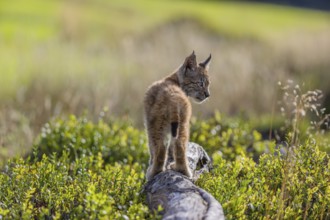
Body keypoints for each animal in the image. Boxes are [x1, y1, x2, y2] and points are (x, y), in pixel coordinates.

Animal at [144, 52, 211, 180]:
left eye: (207, 84)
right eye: (200, 84)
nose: (208, 95)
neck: (175, 79)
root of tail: (174, 98)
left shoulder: (148, 122)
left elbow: (151, 149)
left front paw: (151, 163)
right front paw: (171, 157)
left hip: (156, 125)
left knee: (160, 149)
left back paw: (153, 172)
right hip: (183, 124)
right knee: (180, 146)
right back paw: (183, 171)